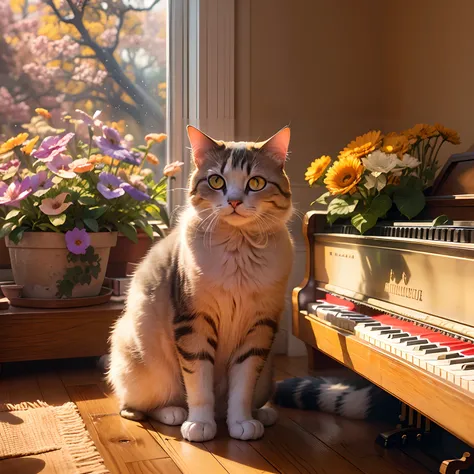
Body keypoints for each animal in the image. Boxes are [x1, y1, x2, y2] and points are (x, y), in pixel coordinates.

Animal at [105, 125, 294, 440]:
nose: (234, 201)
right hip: (143, 364)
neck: (237, 250)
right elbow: (199, 385)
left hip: (267, 375)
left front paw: (242, 423)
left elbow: (242, 389)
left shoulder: (258, 328)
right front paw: (201, 425)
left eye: (256, 182)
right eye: (216, 181)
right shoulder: (194, 322)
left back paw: (263, 415)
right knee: (134, 407)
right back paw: (175, 413)